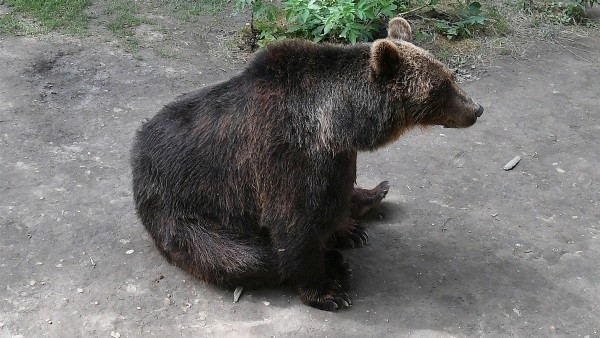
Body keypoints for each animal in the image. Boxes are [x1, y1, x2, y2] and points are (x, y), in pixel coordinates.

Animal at [130, 17, 482, 310]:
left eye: (450, 76)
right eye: (441, 87)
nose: (476, 109)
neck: (338, 123)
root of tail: (136, 154)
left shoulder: (337, 158)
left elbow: (335, 196)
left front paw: (347, 227)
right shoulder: (285, 154)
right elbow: (294, 223)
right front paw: (326, 290)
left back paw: (370, 200)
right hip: (182, 209)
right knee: (241, 257)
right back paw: (336, 262)